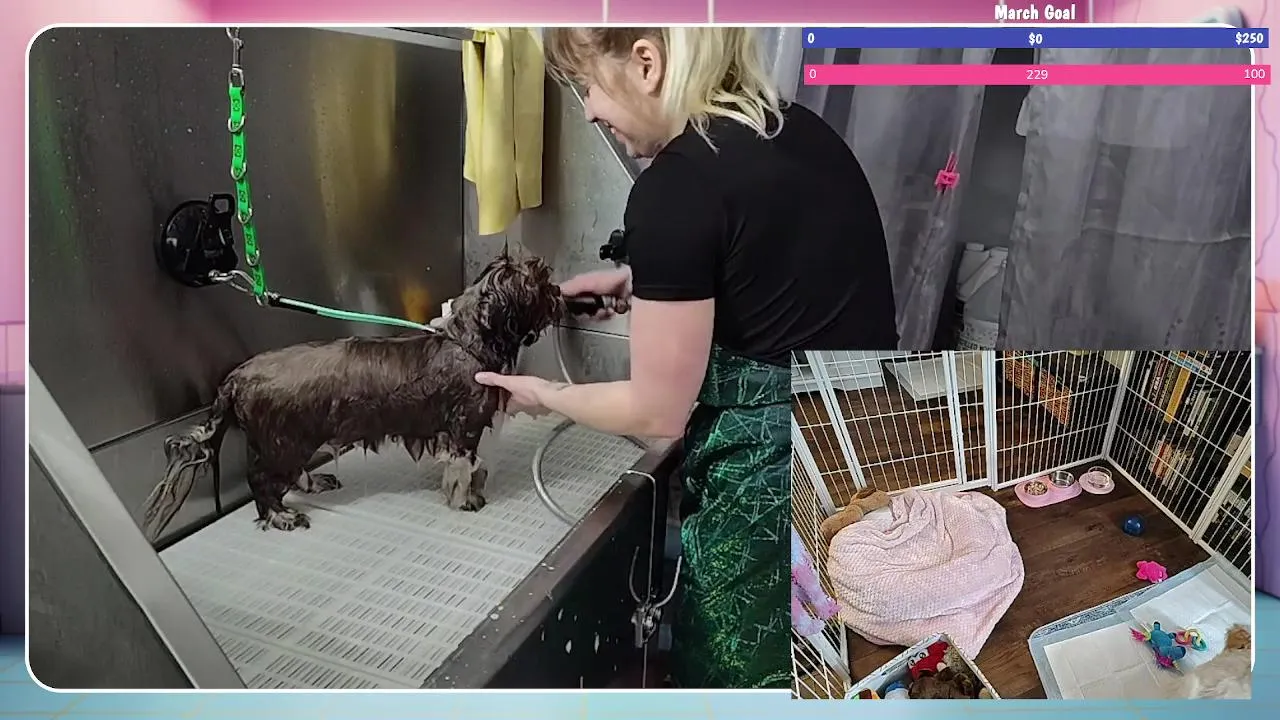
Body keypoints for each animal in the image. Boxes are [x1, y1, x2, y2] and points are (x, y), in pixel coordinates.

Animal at [141, 254, 564, 541]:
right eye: (540, 283)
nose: (560, 293)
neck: (466, 341)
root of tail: (235, 377)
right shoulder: (464, 430)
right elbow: (462, 472)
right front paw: (466, 501)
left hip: (296, 436)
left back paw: (313, 483)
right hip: (281, 442)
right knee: (260, 480)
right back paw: (281, 516)